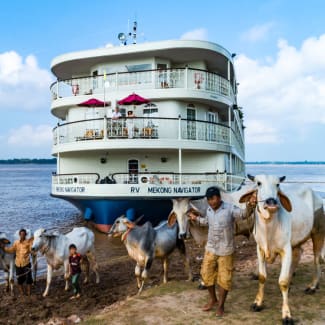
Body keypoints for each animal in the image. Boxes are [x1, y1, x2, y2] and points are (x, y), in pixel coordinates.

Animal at [238, 175, 324, 324]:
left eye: (277, 184)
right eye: (258, 183)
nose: (271, 202)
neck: (269, 226)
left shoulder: (285, 249)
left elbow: (282, 282)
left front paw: (286, 314)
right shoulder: (260, 249)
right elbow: (262, 277)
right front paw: (258, 303)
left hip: (318, 233)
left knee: (317, 259)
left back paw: (313, 286)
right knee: (298, 254)